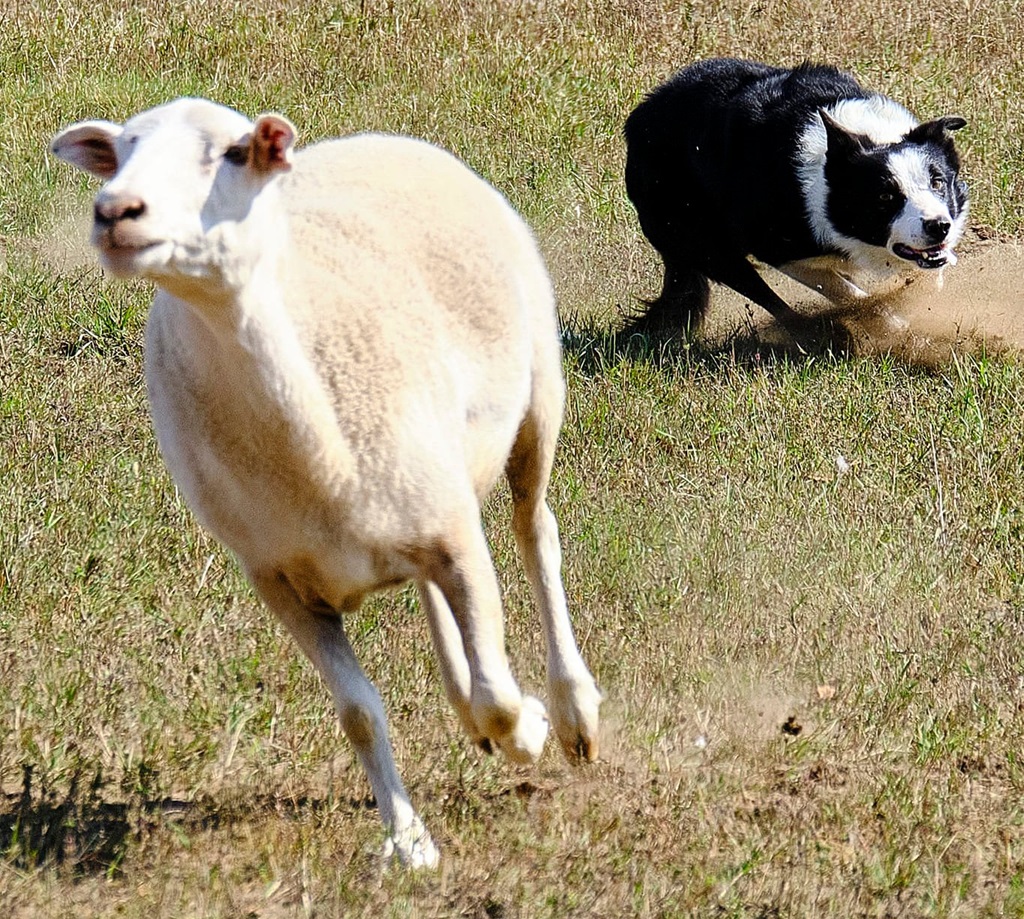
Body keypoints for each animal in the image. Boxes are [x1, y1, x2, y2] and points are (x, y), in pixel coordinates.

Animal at [50, 97, 602, 868]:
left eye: (233, 153)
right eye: (121, 153)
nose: (114, 210)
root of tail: (380, 135)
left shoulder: (457, 537)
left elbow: (498, 689)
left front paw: (528, 730)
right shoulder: (281, 580)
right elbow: (360, 713)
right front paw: (408, 839)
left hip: (539, 394)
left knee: (535, 532)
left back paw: (572, 710)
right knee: (441, 600)